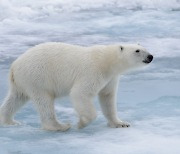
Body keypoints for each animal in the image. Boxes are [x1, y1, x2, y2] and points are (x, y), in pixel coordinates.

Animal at [0, 42, 153, 131]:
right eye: (137, 51)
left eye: (145, 48)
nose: (150, 56)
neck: (107, 60)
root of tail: (14, 66)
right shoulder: (93, 71)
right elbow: (80, 93)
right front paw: (82, 123)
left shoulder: (111, 78)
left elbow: (107, 97)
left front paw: (120, 123)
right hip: (37, 77)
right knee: (44, 101)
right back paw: (60, 126)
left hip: (22, 82)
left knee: (15, 98)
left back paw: (9, 121)